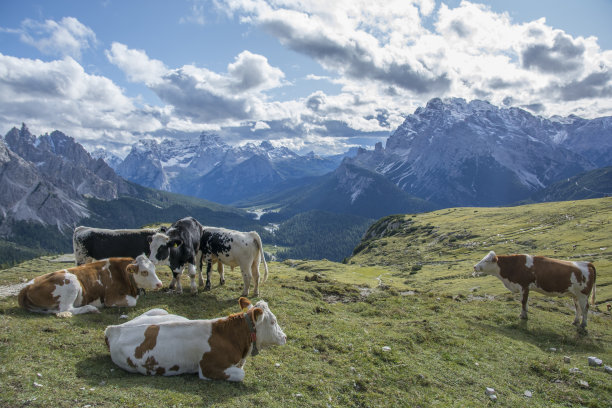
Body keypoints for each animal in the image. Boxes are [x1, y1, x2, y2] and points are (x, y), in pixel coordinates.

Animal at [18, 255, 163, 318]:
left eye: (154, 269)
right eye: (144, 272)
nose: (159, 283)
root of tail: (26, 287)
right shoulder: (111, 298)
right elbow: (133, 302)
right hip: (71, 282)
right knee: (67, 309)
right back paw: (91, 308)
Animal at [104, 296, 286, 380]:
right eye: (273, 321)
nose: (284, 337)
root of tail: (113, 329)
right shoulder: (208, 369)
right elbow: (241, 374)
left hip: (160, 310)